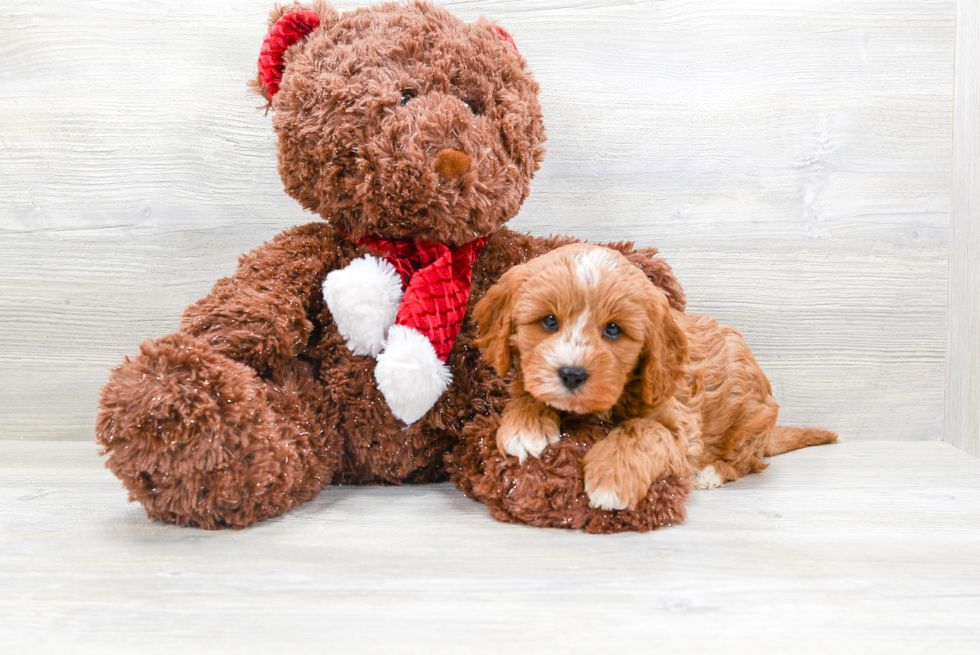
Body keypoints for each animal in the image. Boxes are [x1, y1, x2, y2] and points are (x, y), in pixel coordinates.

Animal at [472, 242, 836, 512]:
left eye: (613, 329)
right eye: (548, 321)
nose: (572, 375)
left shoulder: (682, 429)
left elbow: (644, 431)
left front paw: (612, 478)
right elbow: (530, 390)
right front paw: (524, 426)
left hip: (751, 422)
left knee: (748, 460)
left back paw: (711, 472)